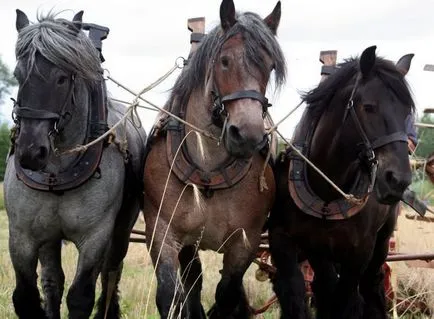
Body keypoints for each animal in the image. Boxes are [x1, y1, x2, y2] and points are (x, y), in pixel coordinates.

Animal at [3, 10, 147, 319]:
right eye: (18, 74)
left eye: (61, 78)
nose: (31, 152)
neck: (57, 174)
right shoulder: (22, 235)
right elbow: (26, 296)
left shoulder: (95, 237)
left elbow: (81, 296)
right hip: (48, 236)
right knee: (52, 280)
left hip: (122, 230)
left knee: (110, 274)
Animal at [142, 1, 284, 318]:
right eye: (225, 61)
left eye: (269, 66)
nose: (247, 135)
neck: (208, 172)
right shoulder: (162, 233)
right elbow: (171, 295)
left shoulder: (245, 242)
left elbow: (226, 295)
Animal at [270, 47, 416, 319]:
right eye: (369, 107)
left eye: (407, 112)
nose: (398, 180)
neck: (326, 190)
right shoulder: (286, 240)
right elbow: (297, 294)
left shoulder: (359, 254)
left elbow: (344, 300)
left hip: (381, 243)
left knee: (371, 284)